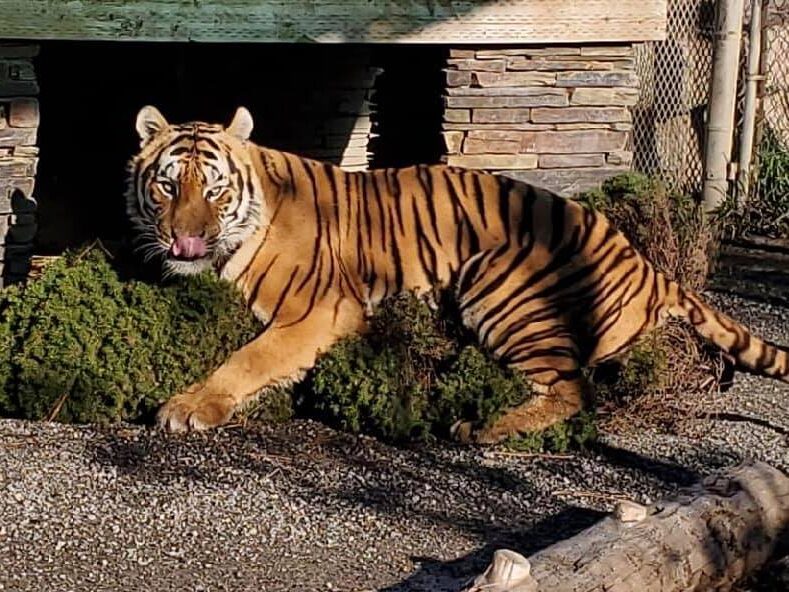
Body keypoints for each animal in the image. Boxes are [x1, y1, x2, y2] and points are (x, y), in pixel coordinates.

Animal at [126, 105, 789, 443]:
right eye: (168, 185)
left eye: (214, 189)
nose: (185, 241)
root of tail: (646, 264)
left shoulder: (319, 309)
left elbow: (249, 358)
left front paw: (189, 406)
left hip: (496, 282)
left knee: (574, 391)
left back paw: (482, 428)